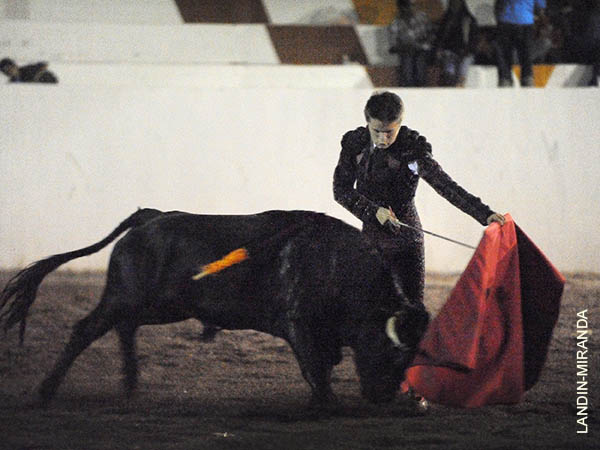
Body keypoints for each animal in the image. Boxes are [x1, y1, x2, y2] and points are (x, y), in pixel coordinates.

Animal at [1, 209, 432, 406]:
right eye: (393, 353)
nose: (384, 397)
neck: (339, 265)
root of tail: (150, 217)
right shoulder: (298, 324)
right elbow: (315, 366)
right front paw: (327, 403)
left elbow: (322, 366)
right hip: (123, 296)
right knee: (86, 330)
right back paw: (46, 391)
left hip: (162, 305)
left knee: (127, 327)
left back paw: (131, 383)